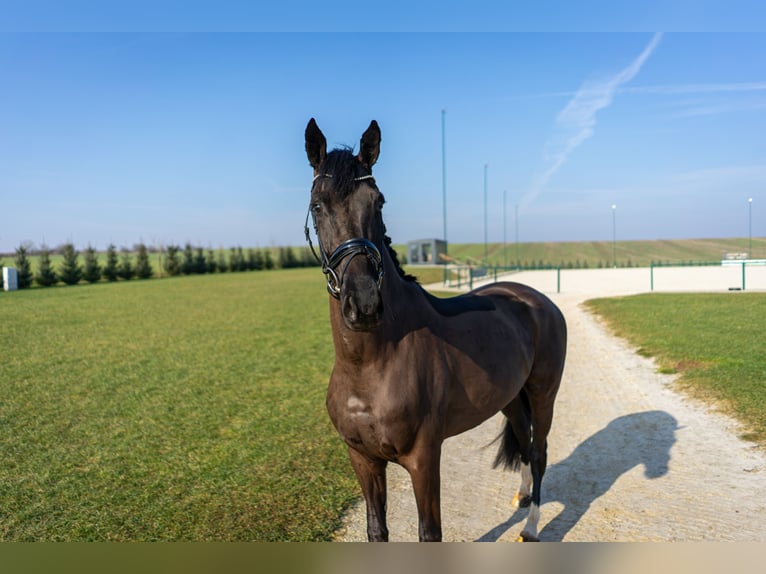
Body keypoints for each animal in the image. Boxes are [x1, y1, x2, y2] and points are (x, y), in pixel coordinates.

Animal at [304, 118, 568, 544]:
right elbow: (376, 531)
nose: (364, 304)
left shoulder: (424, 459)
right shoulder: (363, 459)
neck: (370, 364)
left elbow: (430, 533)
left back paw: (530, 527)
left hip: (544, 394)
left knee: (540, 451)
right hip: (511, 398)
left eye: (378, 202)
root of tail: (535, 299)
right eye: (317, 205)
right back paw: (523, 498)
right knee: (526, 443)